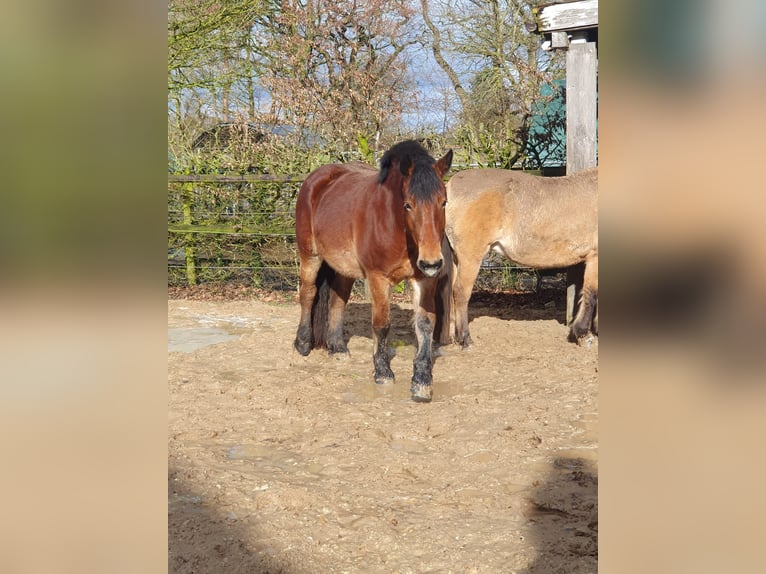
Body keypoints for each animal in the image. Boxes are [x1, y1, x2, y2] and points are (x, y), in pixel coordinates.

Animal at [292, 141, 450, 402]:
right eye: (408, 204)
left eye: (443, 202)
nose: (431, 262)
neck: (395, 227)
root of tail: (316, 178)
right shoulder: (378, 278)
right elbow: (382, 324)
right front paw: (383, 372)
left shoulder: (424, 280)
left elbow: (425, 324)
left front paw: (422, 380)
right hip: (310, 255)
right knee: (308, 293)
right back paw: (303, 343)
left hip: (344, 268)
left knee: (337, 301)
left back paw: (337, 348)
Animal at [438, 166, 600, 346]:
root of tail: (451, 186)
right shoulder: (595, 256)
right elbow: (591, 294)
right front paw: (583, 334)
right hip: (470, 257)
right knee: (460, 293)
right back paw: (465, 338)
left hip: (457, 258)